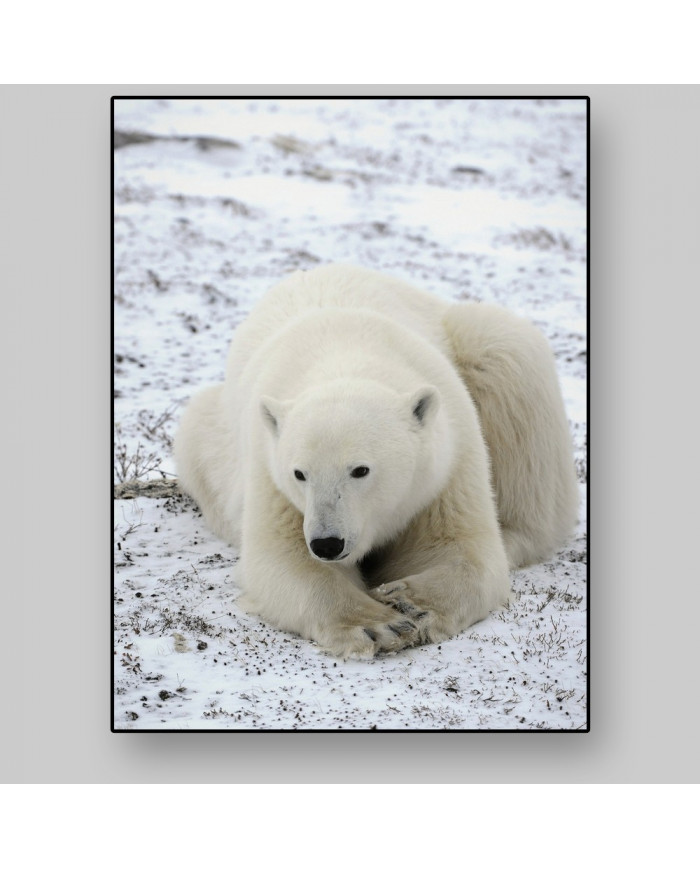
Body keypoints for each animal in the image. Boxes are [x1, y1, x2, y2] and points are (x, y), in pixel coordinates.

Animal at [174, 264, 579, 658]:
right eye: (300, 474)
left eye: (360, 470)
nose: (327, 543)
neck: (345, 353)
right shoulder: (269, 470)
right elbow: (282, 560)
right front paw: (376, 625)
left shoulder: (447, 461)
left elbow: (461, 549)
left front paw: (411, 603)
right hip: (210, 436)